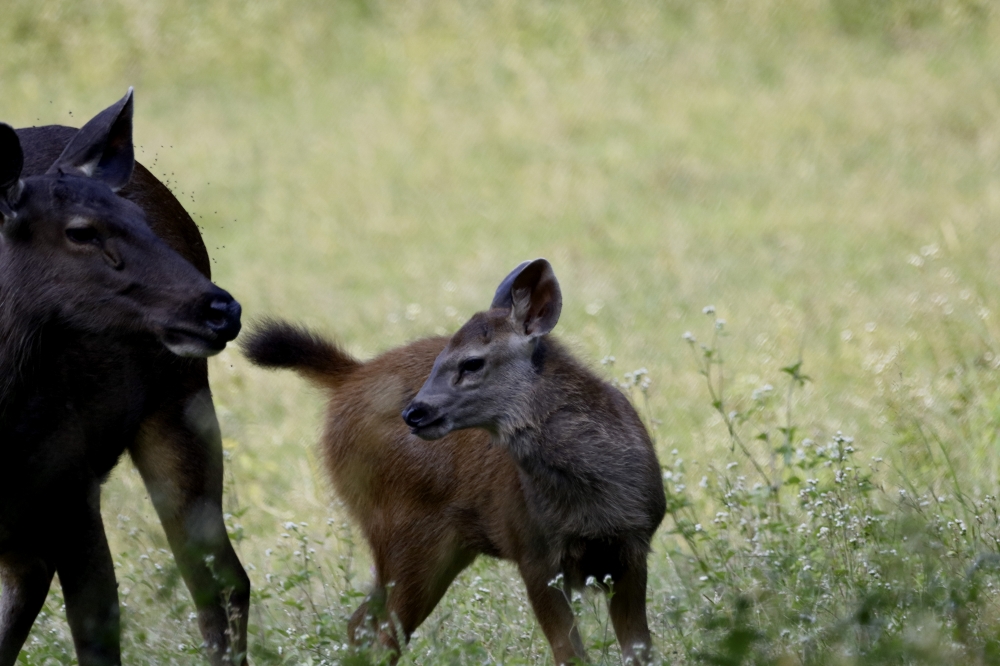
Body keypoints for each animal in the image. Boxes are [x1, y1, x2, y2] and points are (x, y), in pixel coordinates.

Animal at [0, 91, 249, 666]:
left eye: (136, 216)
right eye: (80, 230)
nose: (222, 309)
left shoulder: (73, 487)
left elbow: (99, 633)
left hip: (180, 400)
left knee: (222, 581)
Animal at [243, 258, 666, 665]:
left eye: (472, 362)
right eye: (439, 360)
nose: (414, 413)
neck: (591, 503)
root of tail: (350, 376)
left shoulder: (632, 546)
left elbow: (639, 650)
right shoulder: (532, 550)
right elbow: (571, 655)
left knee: (361, 623)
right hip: (404, 531)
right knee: (382, 634)